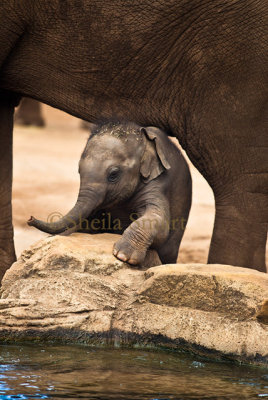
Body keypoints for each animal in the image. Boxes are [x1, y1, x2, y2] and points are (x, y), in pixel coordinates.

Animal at [28, 122, 192, 266]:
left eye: (113, 174)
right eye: (79, 171)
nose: (30, 218)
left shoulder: (158, 182)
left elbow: (158, 220)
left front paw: (123, 256)